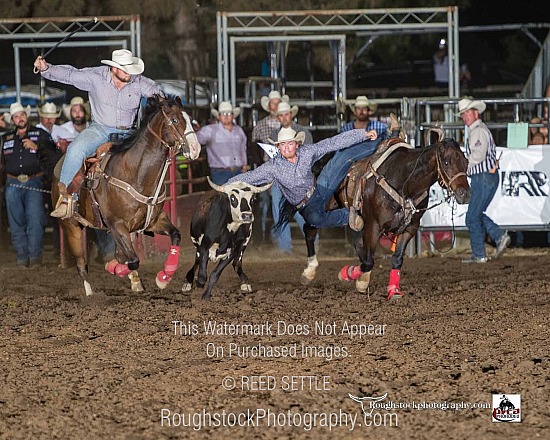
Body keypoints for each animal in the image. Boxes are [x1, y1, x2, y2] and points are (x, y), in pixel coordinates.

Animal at [52, 96, 201, 296]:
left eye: (190, 119)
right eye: (175, 120)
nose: (195, 148)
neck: (136, 173)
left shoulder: (154, 221)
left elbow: (176, 235)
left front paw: (163, 277)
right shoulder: (116, 224)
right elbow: (133, 260)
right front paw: (114, 267)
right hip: (71, 227)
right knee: (81, 264)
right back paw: (90, 294)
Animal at [302, 139, 470, 300]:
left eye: (466, 162)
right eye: (446, 162)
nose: (464, 193)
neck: (405, 182)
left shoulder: (410, 228)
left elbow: (396, 259)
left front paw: (393, 290)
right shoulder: (373, 226)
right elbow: (368, 262)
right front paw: (349, 274)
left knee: (357, 243)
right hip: (323, 209)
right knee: (309, 228)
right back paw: (309, 271)